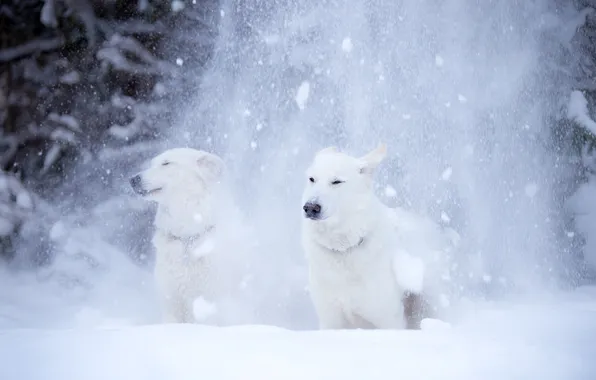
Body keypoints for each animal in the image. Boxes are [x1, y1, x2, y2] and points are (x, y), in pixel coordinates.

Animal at [130, 148, 233, 324]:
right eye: (152, 163)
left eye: (166, 163)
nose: (133, 179)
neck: (187, 237)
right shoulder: (171, 298)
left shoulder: (210, 299)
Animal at [300, 144, 454, 328]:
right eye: (312, 179)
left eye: (336, 181)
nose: (310, 207)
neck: (343, 249)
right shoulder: (331, 320)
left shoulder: (388, 319)